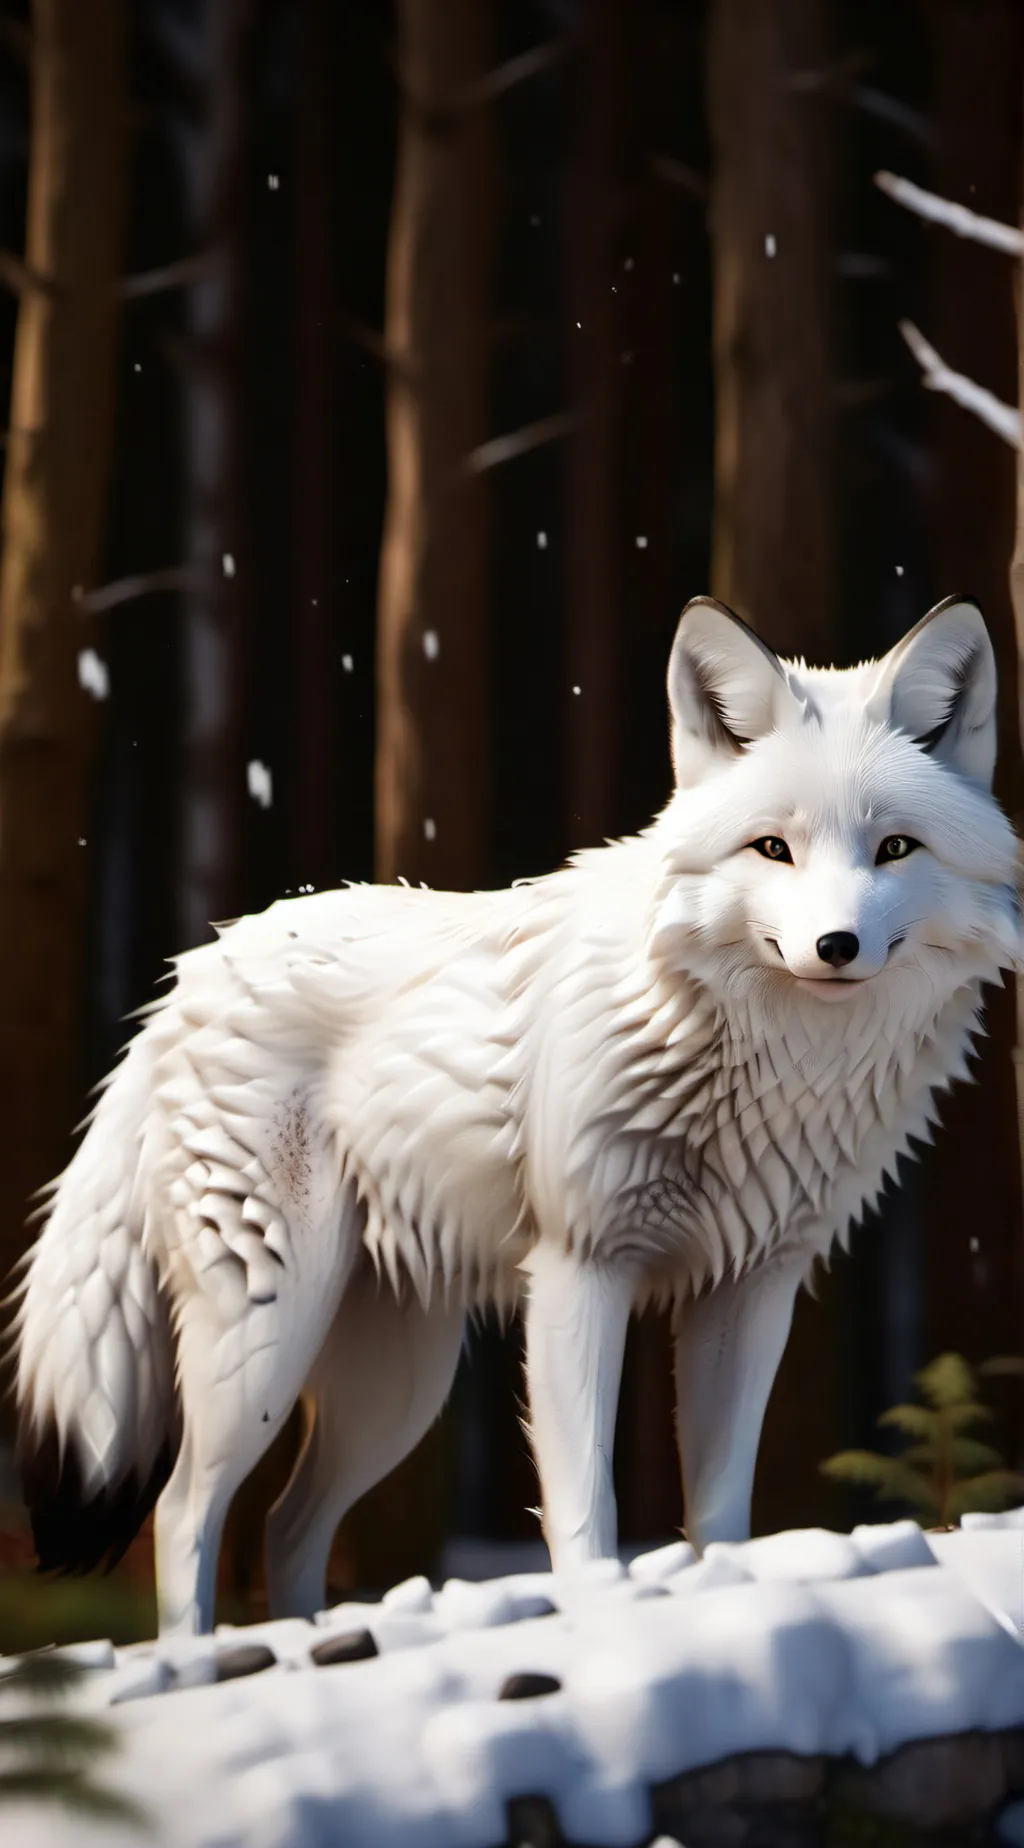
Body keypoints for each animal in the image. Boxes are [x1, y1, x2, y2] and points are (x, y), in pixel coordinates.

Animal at [9, 593, 1020, 1636]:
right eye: (773, 847)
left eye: (894, 848)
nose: (836, 945)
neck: (773, 1065)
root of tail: (186, 976)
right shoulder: (580, 1273)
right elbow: (585, 1511)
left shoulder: (750, 1290)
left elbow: (719, 1515)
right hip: (265, 1338)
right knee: (183, 1511)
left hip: (395, 1388)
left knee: (288, 1526)